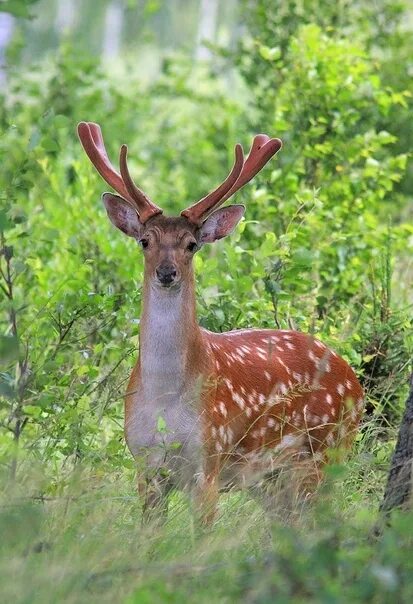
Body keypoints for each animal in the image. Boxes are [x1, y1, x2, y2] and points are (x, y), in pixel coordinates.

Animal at [78, 122, 364, 524]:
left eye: (191, 244)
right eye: (144, 240)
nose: (167, 273)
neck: (165, 397)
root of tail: (355, 381)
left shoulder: (209, 460)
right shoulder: (145, 465)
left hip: (325, 452)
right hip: (272, 480)